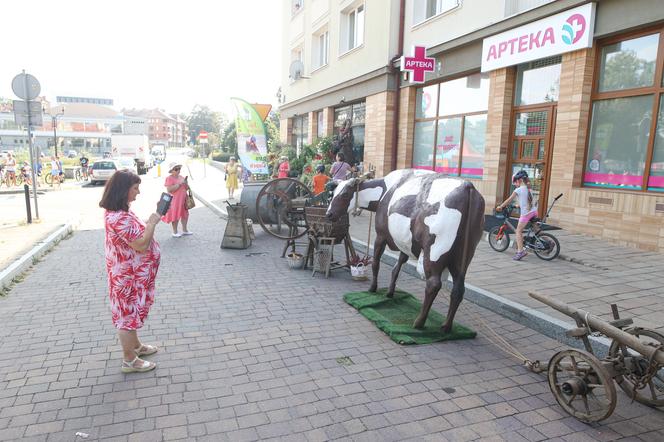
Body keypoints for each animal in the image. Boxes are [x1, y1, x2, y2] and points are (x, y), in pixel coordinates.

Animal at [326, 168, 486, 332]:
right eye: (333, 193)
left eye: (345, 194)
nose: (328, 214)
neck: (386, 190)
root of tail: (468, 187)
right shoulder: (404, 242)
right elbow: (397, 267)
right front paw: (390, 292)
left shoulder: (381, 236)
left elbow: (376, 262)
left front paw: (372, 288)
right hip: (464, 256)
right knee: (458, 288)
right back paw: (446, 326)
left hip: (435, 251)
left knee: (433, 284)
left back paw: (419, 322)